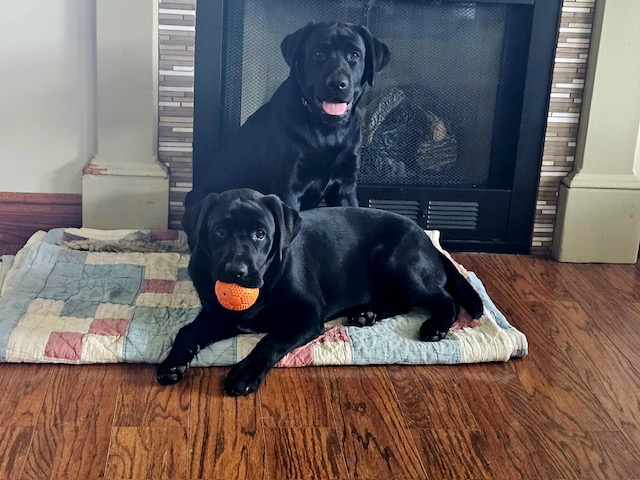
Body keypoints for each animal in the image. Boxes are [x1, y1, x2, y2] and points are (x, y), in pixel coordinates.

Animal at [158, 189, 482, 396]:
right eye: (219, 232)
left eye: (260, 234)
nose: (236, 272)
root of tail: (429, 242)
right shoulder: (218, 316)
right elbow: (186, 332)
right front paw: (173, 363)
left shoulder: (306, 317)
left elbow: (269, 341)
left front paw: (245, 374)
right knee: (400, 302)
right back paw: (366, 313)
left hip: (396, 264)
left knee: (442, 299)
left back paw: (435, 326)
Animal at [185, 21, 390, 210]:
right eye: (318, 53)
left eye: (354, 55)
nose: (338, 83)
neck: (327, 130)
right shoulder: (289, 187)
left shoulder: (345, 186)